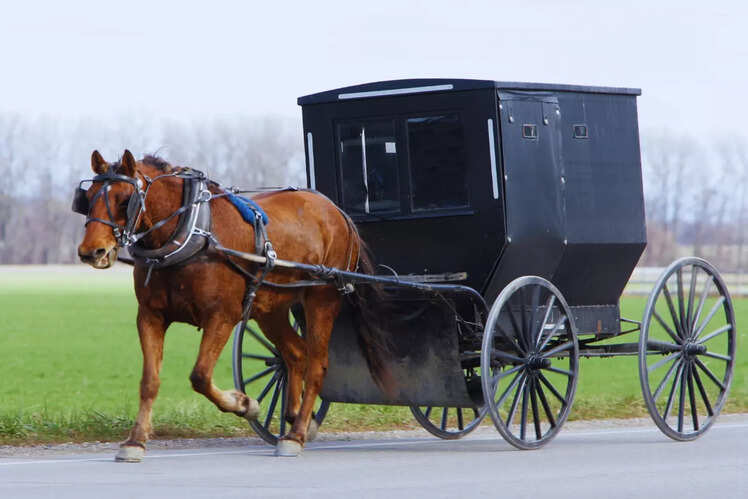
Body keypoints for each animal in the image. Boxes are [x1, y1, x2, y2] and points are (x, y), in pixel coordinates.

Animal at [75, 149, 383, 460]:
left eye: (125, 199)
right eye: (88, 197)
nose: (92, 251)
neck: (191, 232)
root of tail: (336, 211)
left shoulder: (222, 316)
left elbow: (200, 376)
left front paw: (245, 404)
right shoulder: (151, 317)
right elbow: (149, 381)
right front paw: (135, 441)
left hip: (322, 299)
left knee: (317, 363)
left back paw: (295, 435)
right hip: (270, 308)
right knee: (296, 354)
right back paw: (297, 419)